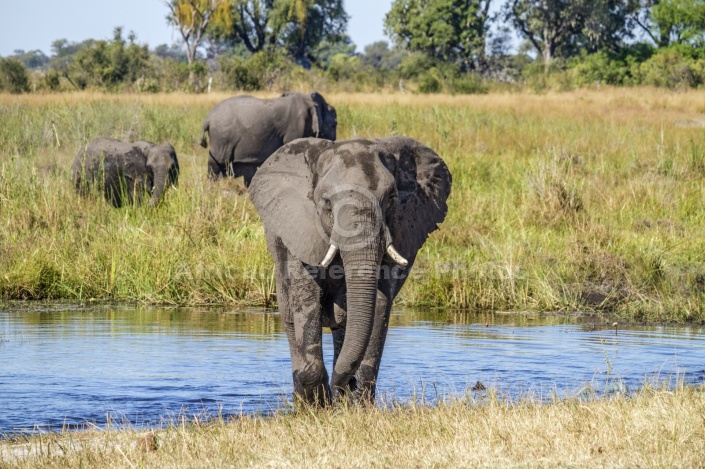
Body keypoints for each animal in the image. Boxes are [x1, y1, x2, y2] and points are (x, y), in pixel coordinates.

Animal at [199, 90, 336, 186]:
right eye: (333, 124)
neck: (309, 100)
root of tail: (208, 118)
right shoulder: (296, 127)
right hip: (221, 139)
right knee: (215, 166)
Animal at [248, 136, 452, 406]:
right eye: (326, 203)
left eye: (391, 198)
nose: (344, 385)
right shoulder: (300, 231)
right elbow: (306, 298)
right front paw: (318, 405)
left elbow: (378, 305)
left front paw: (355, 403)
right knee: (292, 320)